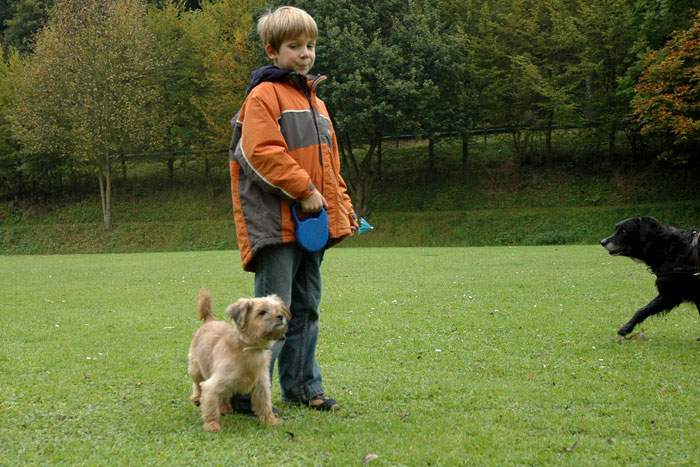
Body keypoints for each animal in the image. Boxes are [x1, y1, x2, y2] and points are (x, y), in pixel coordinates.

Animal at [186, 290, 290, 434]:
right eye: (262, 312)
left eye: (278, 309)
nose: (280, 316)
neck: (249, 348)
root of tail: (210, 319)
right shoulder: (212, 385)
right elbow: (210, 406)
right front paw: (211, 425)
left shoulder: (261, 385)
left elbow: (265, 404)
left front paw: (271, 421)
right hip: (195, 369)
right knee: (197, 383)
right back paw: (197, 397)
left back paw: (224, 407)